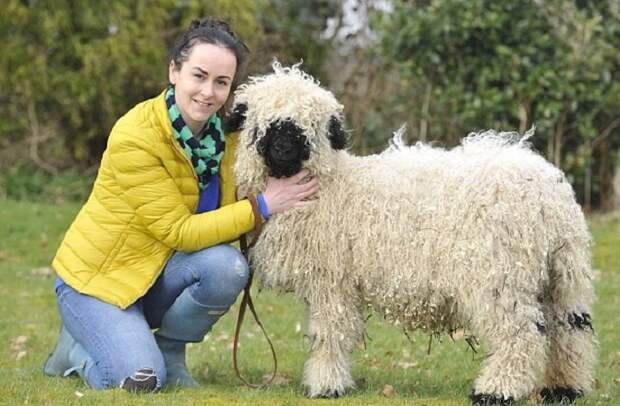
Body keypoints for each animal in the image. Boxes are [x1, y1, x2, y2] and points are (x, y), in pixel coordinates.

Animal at [226, 63, 596, 402]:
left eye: (307, 128)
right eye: (264, 125)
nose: (283, 151)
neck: (331, 185)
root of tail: (549, 196)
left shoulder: (332, 280)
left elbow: (330, 334)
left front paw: (326, 385)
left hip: (501, 274)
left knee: (521, 334)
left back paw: (497, 390)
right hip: (561, 274)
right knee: (569, 329)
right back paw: (564, 388)